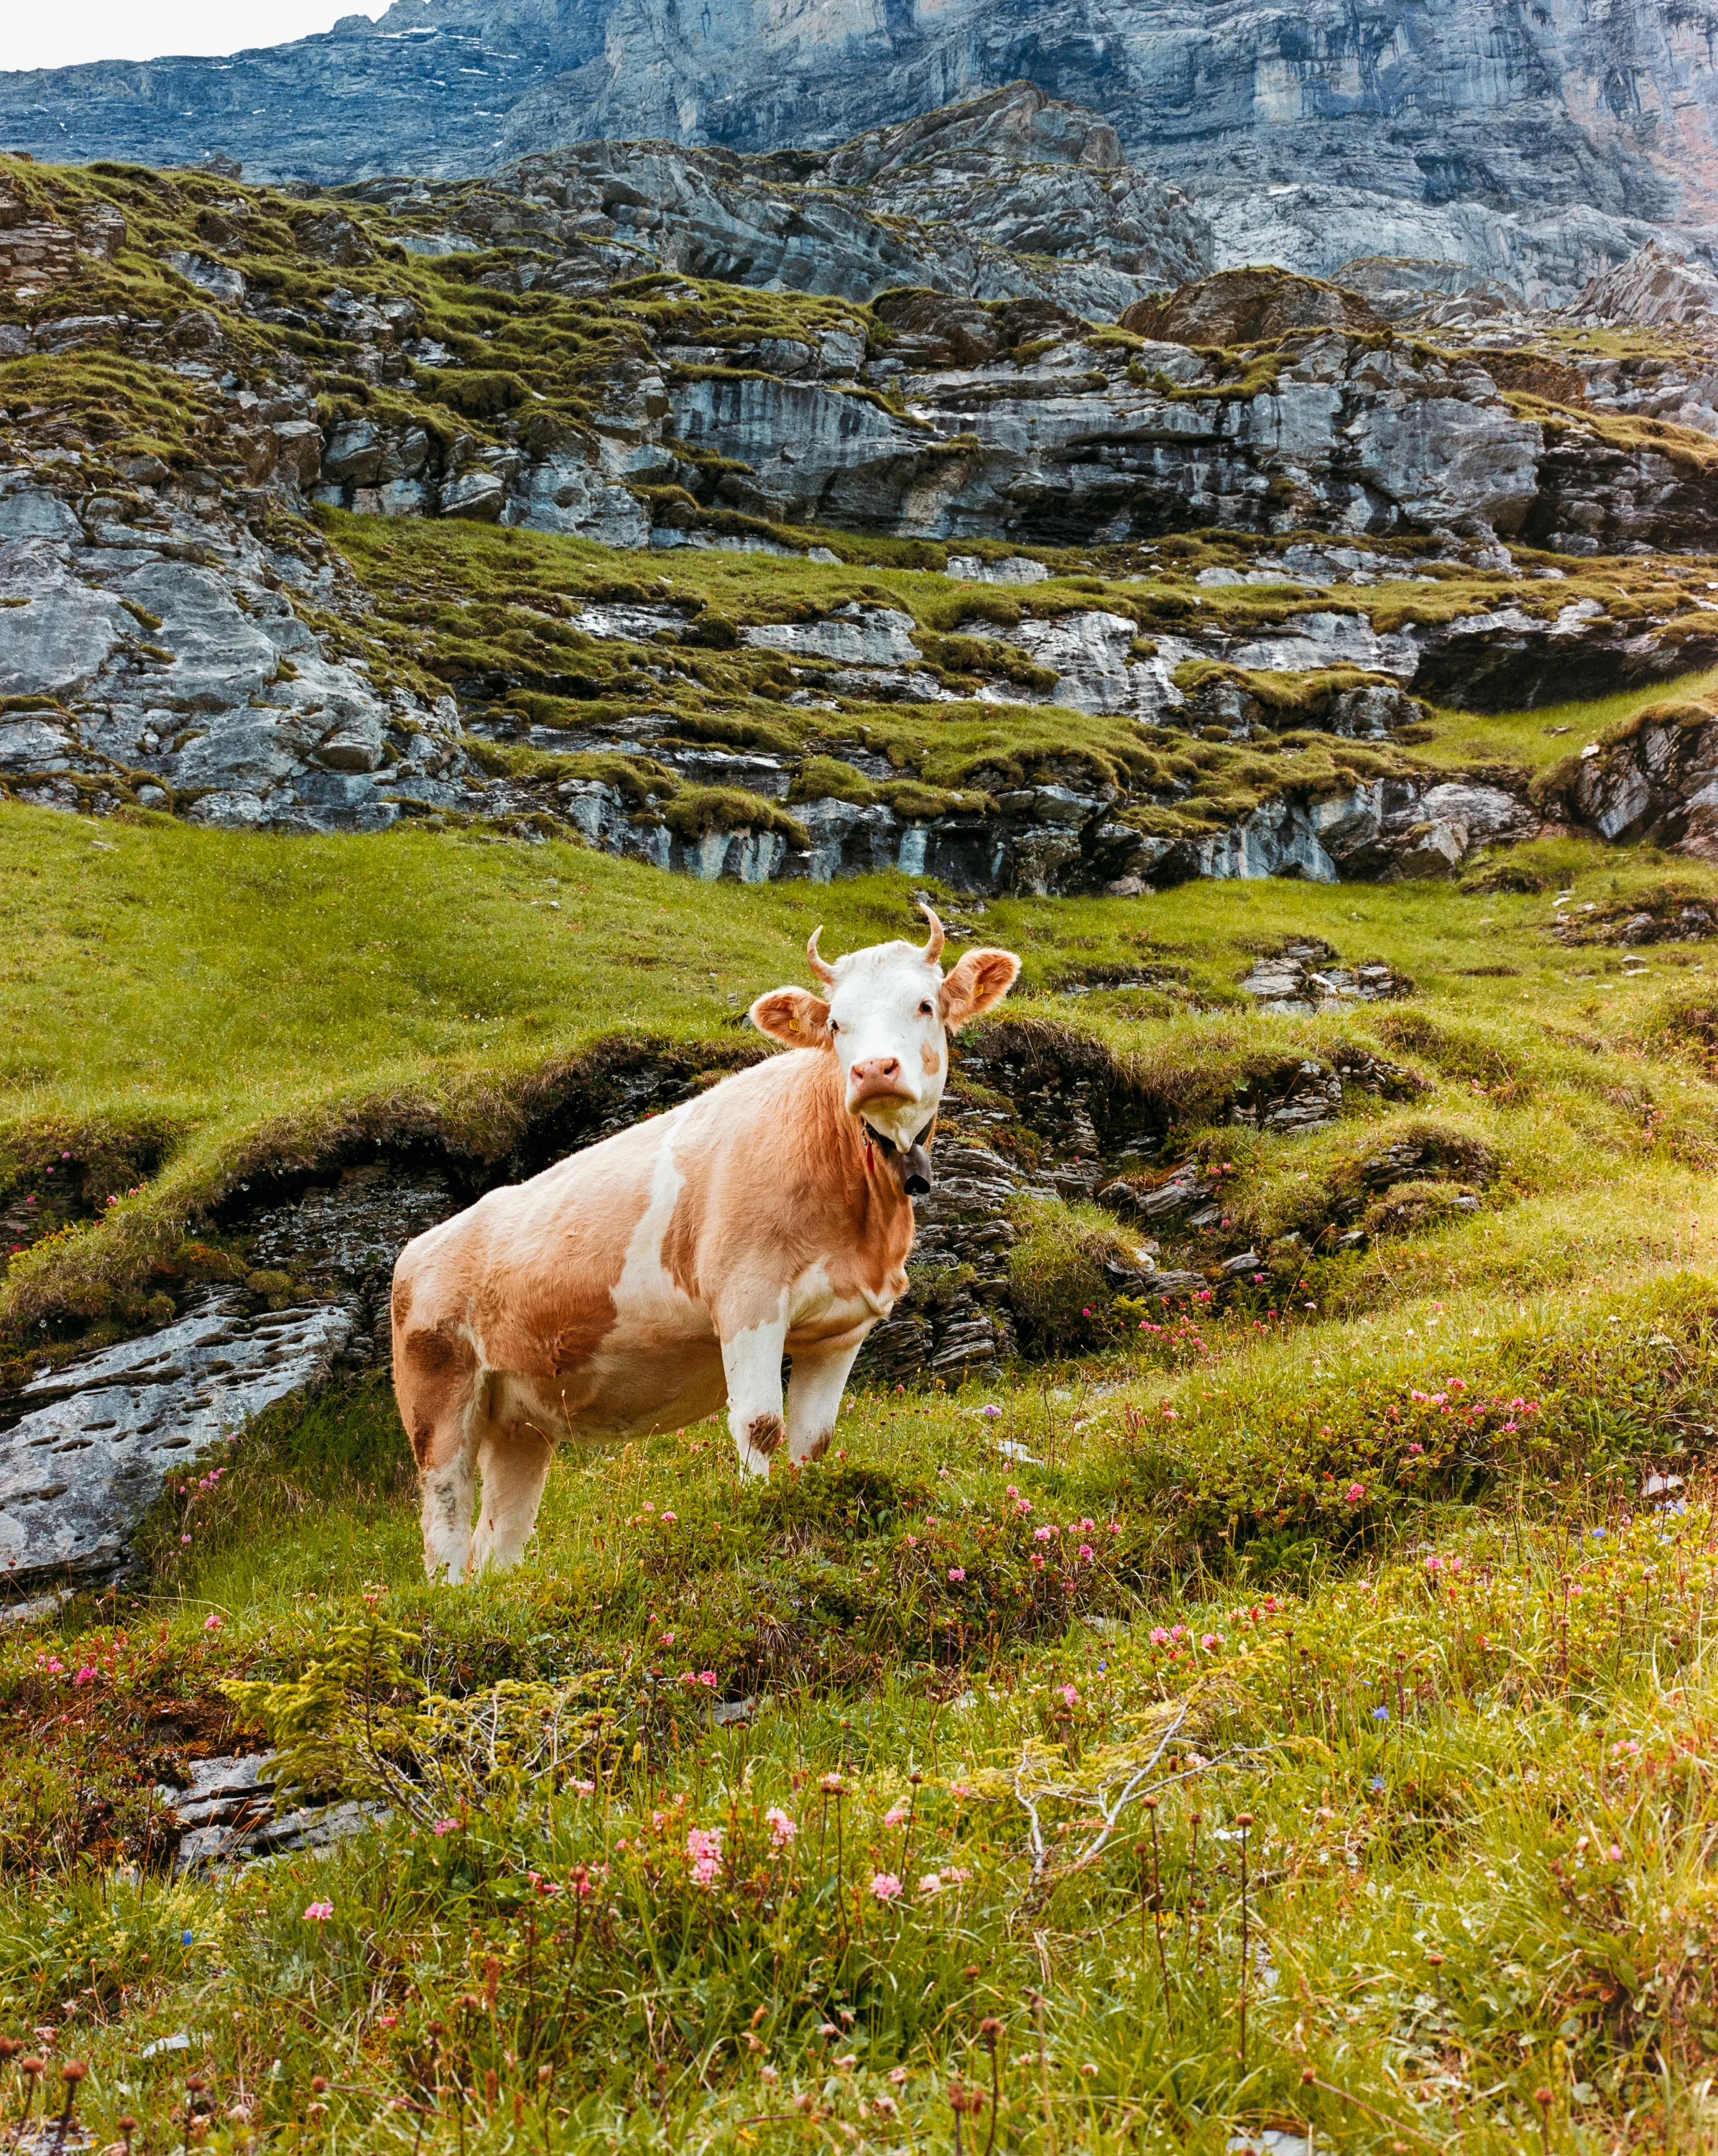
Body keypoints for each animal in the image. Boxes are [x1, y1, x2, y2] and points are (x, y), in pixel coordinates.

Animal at [390, 907, 1021, 1581]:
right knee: (446, 1516)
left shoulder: (843, 1326)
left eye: (924, 1005)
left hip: (520, 1421)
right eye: (835, 1023)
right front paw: (760, 1513)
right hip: (438, 1397)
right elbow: (760, 1424)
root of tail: (421, 1247)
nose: (872, 1070)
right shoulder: (748, 1297)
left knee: (499, 1540)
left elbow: (814, 1440)